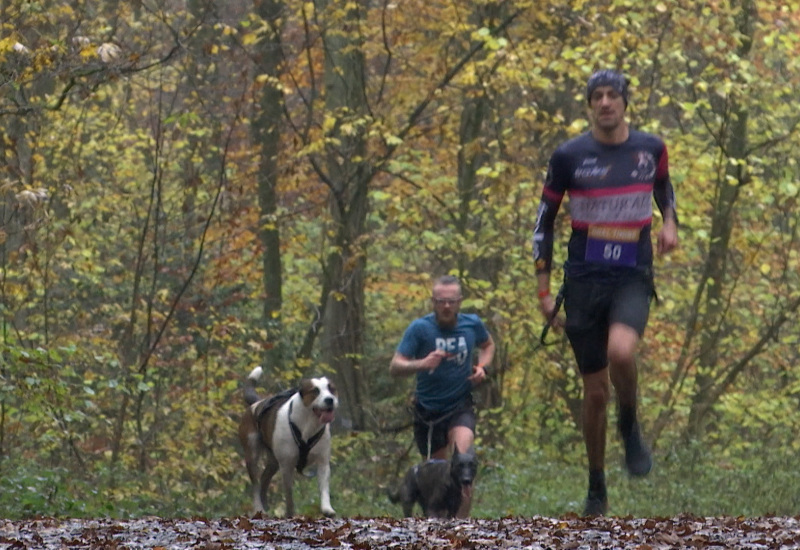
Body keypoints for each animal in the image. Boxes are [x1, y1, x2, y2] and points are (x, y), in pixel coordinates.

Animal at [238, 366, 338, 516]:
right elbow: (289, 494)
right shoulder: (286, 465)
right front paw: (290, 513)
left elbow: (324, 489)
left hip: (273, 461)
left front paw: (327, 508)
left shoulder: (323, 463)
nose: (330, 400)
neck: (308, 424)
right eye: (315, 391)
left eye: (331, 389)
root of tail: (255, 404)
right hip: (252, 455)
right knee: (255, 484)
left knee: (264, 479)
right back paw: (259, 508)